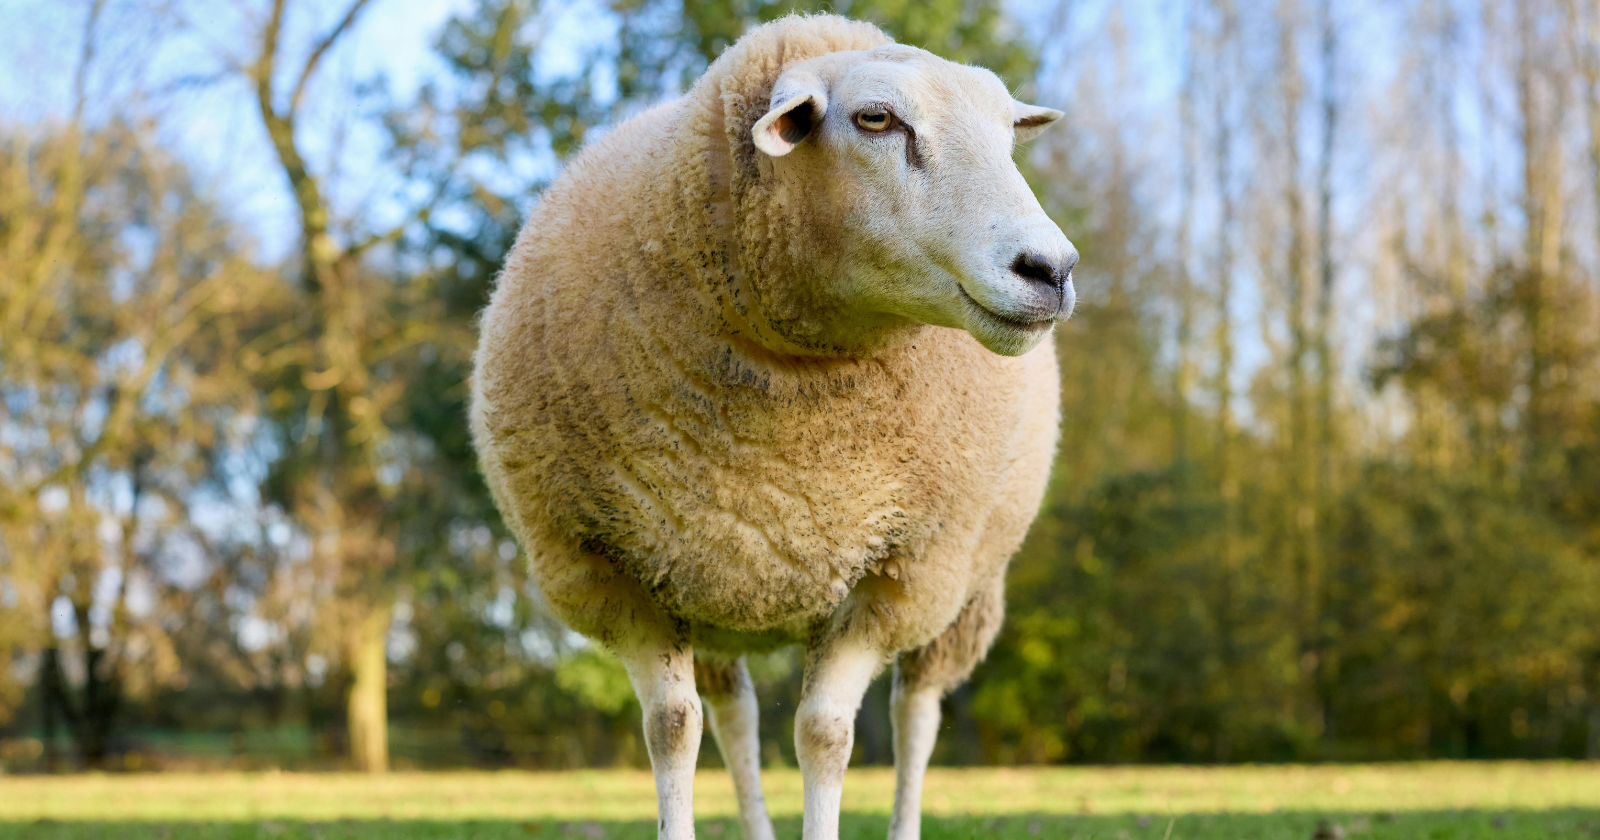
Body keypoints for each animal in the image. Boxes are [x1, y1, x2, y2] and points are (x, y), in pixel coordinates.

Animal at [470, 14, 1075, 840]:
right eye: (875, 118)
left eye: (1008, 134)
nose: (1051, 270)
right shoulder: (613, 570)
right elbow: (672, 728)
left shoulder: (893, 576)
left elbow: (825, 734)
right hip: (710, 582)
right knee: (735, 715)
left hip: (959, 583)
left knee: (916, 713)